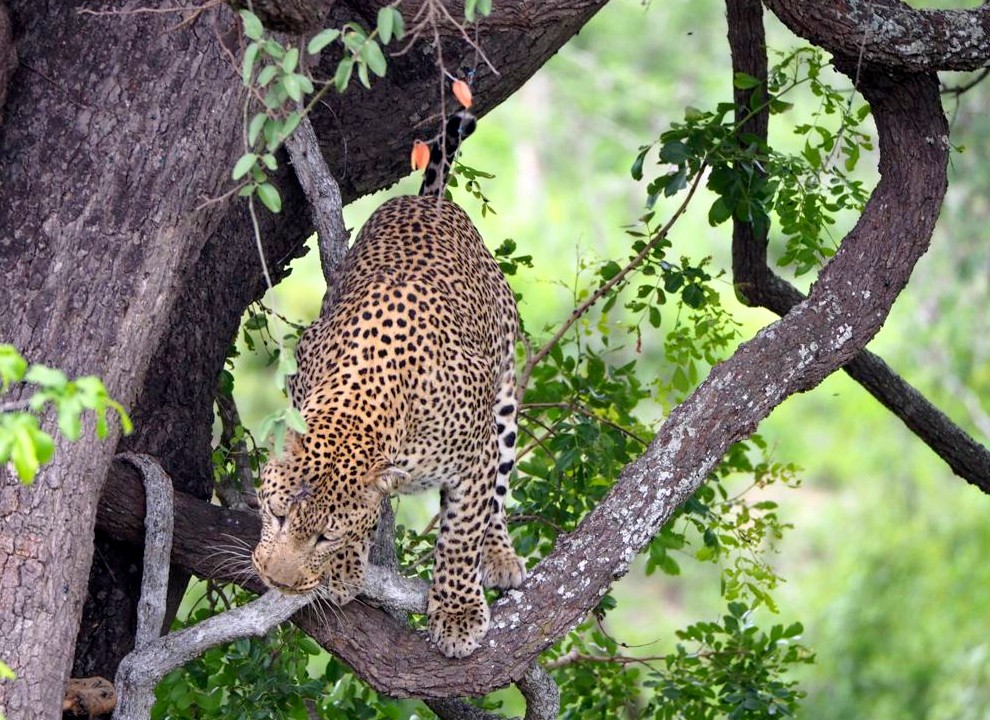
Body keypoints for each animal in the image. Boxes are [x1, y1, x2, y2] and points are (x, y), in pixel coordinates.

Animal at [251, 109, 526, 658]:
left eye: (324, 536)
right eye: (276, 515)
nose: (277, 580)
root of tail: (429, 201)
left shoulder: (475, 454)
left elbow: (463, 530)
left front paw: (458, 612)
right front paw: (345, 567)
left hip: (504, 398)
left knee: (498, 495)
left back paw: (499, 555)